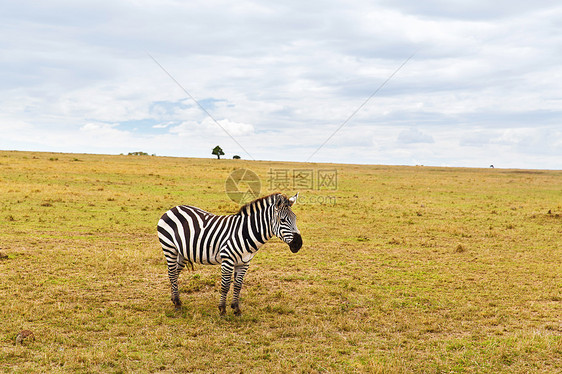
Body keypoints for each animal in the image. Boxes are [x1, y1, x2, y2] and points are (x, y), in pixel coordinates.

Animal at [156, 193, 302, 316]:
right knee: (171, 273)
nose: (298, 244)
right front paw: (222, 309)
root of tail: (173, 209)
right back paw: (176, 302)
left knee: (175, 273)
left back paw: (175, 299)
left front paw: (236, 308)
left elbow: (238, 285)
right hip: (170, 248)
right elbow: (225, 285)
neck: (245, 232)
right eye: (282, 220)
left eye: (295, 218)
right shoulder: (228, 260)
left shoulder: (244, 262)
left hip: (182, 253)